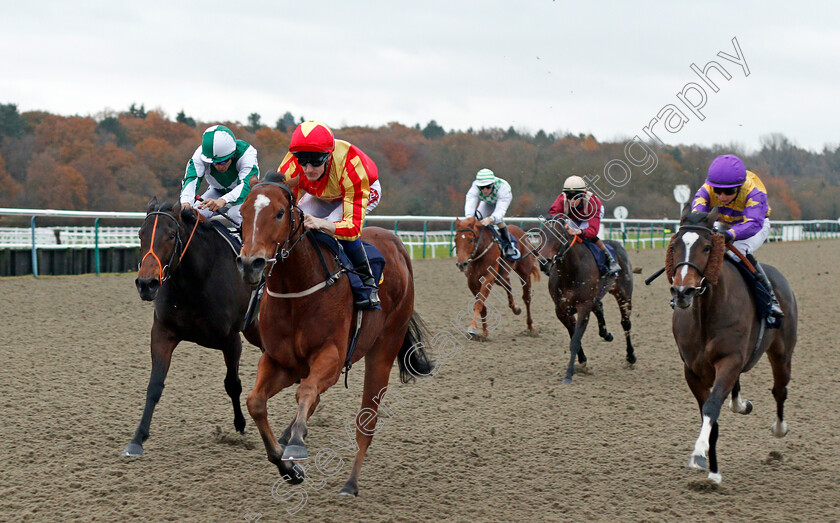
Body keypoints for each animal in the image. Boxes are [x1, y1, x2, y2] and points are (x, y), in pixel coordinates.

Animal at [124, 199, 260, 456]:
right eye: (140, 234)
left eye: (170, 235)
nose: (146, 284)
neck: (196, 279)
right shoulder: (163, 332)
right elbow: (154, 385)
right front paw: (137, 439)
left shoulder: (231, 339)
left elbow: (232, 384)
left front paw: (241, 425)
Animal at [236, 177, 434, 500]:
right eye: (242, 212)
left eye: (279, 213)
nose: (250, 263)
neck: (297, 289)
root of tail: (397, 246)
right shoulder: (281, 361)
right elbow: (255, 401)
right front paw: (287, 466)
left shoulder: (331, 355)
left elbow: (305, 392)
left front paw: (296, 444)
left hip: (385, 347)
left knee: (366, 421)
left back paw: (350, 483)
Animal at [536, 218, 632, 384]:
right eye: (541, 235)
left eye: (558, 236)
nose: (543, 262)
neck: (570, 273)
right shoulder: (561, 310)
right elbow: (574, 335)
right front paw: (582, 361)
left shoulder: (584, 306)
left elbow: (575, 341)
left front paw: (569, 374)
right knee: (599, 307)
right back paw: (606, 334)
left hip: (624, 294)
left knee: (626, 323)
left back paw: (631, 357)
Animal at [668, 207, 796, 486]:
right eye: (675, 245)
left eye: (707, 247)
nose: (682, 291)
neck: (706, 314)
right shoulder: (692, 371)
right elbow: (711, 418)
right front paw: (712, 471)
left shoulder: (729, 360)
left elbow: (712, 407)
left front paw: (698, 455)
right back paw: (740, 404)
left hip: (782, 353)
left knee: (779, 389)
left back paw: (779, 428)